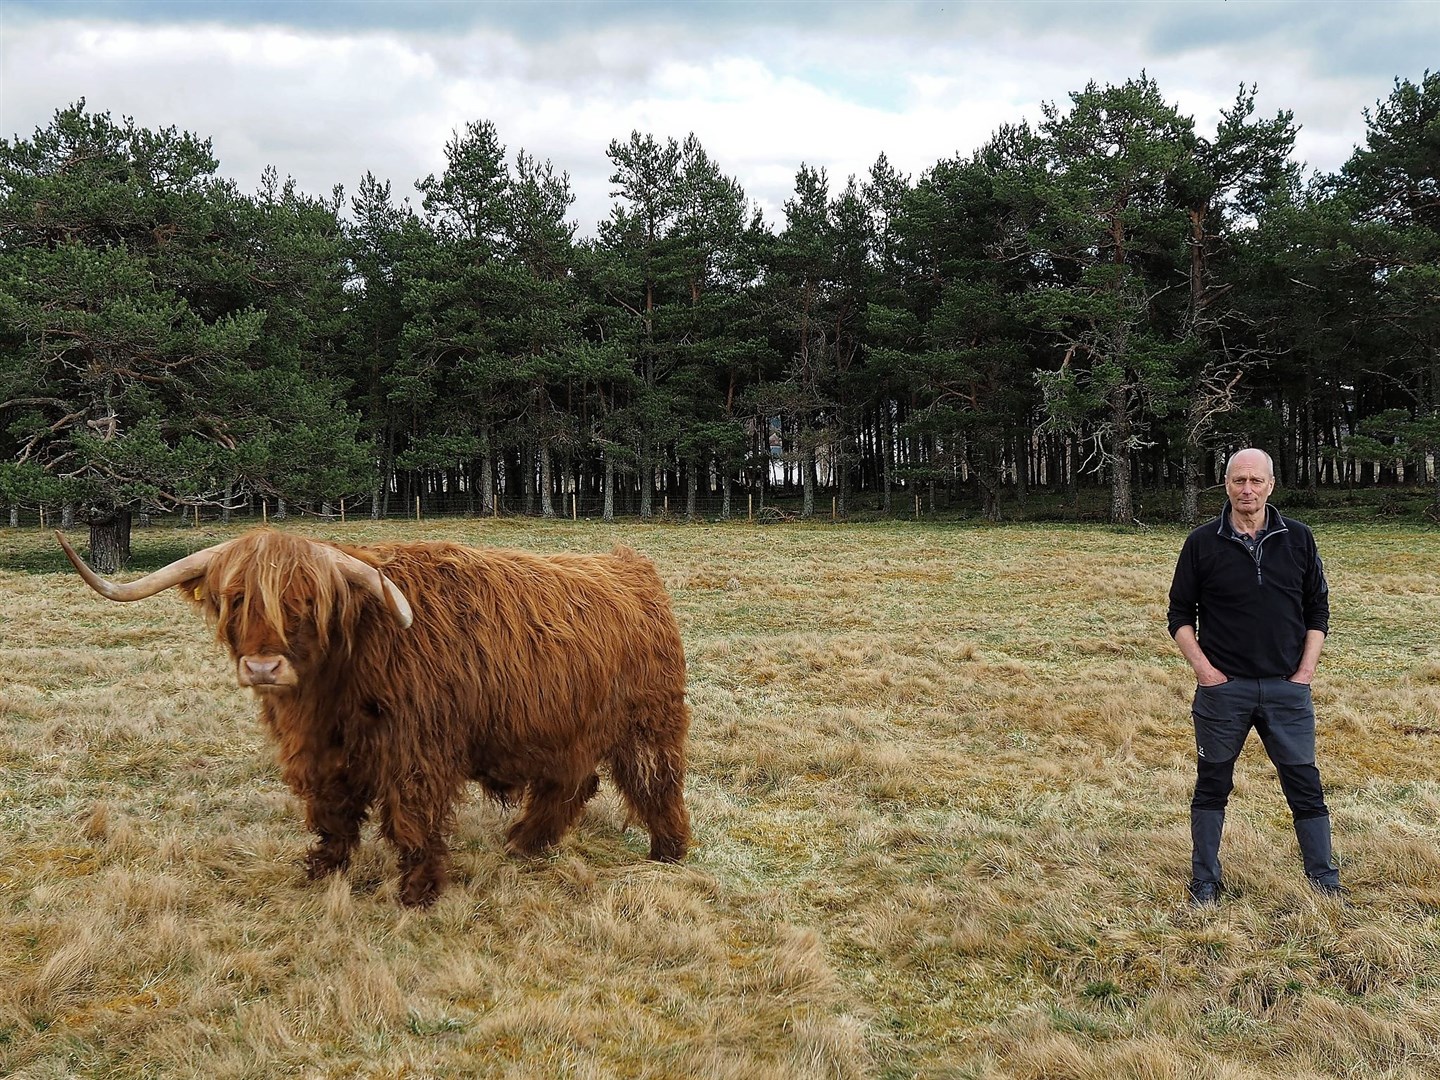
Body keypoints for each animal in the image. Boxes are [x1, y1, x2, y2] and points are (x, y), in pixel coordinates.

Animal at [64, 529, 694, 904]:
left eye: (305, 603)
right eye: (237, 599)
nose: (264, 666)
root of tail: (631, 568)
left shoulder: (418, 750)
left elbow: (411, 819)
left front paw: (417, 891)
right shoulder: (318, 753)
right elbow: (332, 813)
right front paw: (323, 869)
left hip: (649, 720)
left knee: (656, 781)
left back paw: (668, 851)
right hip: (564, 731)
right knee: (571, 784)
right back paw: (524, 844)